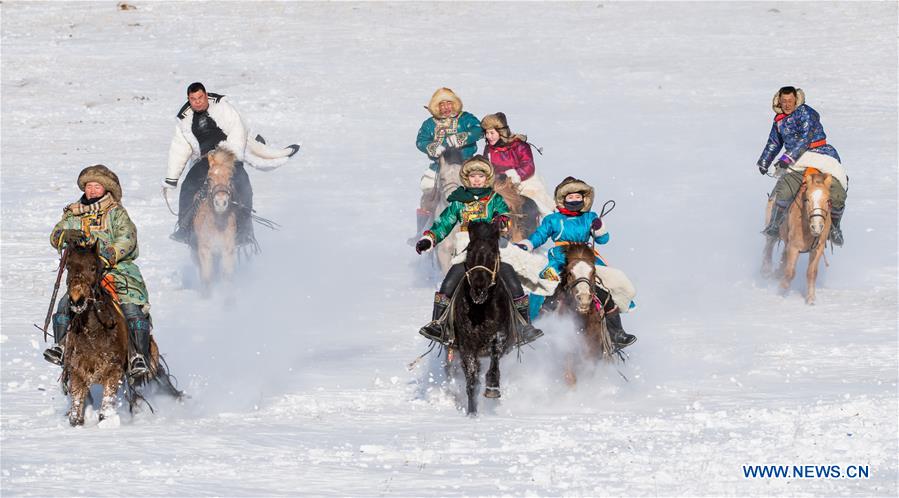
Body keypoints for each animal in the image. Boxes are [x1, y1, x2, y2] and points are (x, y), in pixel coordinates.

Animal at [61, 244, 183, 424]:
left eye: (93, 267)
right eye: (68, 267)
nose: (77, 300)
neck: (94, 333)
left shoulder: (114, 372)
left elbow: (105, 411)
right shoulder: (77, 372)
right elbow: (76, 415)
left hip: (149, 362)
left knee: (160, 377)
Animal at [194, 146, 241, 292]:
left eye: (230, 179)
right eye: (209, 179)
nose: (220, 203)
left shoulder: (228, 250)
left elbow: (227, 277)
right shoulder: (204, 250)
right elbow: (207, 278)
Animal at [444, 220, 512, 414]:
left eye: (493, 252)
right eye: (470, 250)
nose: (478, 288)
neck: (481, 309)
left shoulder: (501, 335)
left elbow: (495, 354)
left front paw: (492, 388)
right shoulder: (466, 344)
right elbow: (471, 377)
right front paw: (472, 412)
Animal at [556, 243, 620, 388]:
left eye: (593, 272)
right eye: (570, 272)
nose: (584, 299)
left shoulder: (593, 352)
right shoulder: (567, 349)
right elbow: (570, 377)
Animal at [768, 170, 836, 304]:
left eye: (828, 200)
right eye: (807, 199)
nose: (817, 226)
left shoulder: (817, 249)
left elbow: (811, 273)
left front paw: (810, 299)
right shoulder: (794, 247)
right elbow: (790, 273)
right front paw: (781, 290)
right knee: (769, 245)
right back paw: (765, 270)